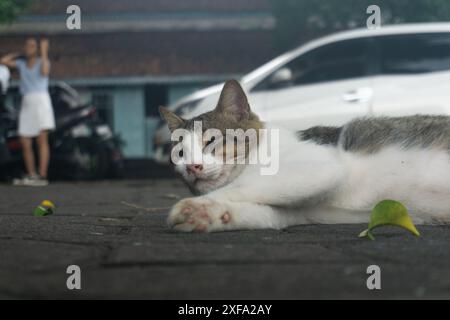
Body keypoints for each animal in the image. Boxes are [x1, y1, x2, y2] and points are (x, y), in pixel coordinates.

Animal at [159, 79, 450, 231]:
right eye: (180, 153)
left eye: (212, 140)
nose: (192, 167)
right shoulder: (300, 211)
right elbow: (262, 213)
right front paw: (206, 214)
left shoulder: (318, 168)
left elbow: (241, 187)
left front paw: (191, 207)